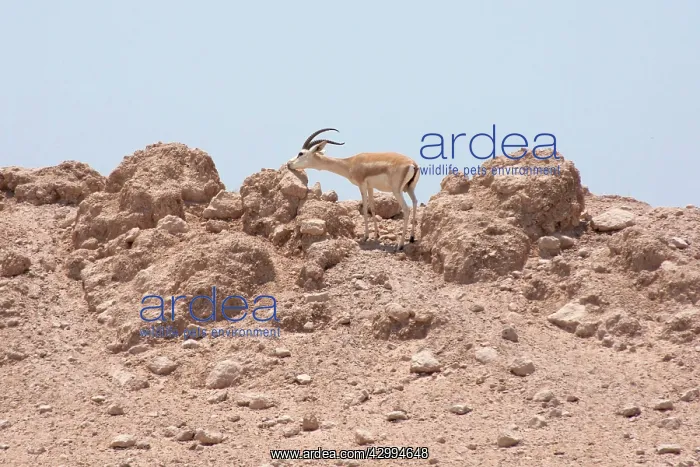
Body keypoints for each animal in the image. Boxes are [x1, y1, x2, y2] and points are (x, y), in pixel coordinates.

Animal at [287, 128, 420, 251]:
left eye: (301, 153)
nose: (289, 163)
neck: (350, 163)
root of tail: (413, 164)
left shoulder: (361, 185)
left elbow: (365, 209)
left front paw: (365, 237)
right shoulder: (370, 187)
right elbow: (372, 207)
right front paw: (376, 235)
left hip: (397, 191)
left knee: (406, 209)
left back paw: (400, 245)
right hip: (410, 188)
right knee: (415, 202)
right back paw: (412, 238)